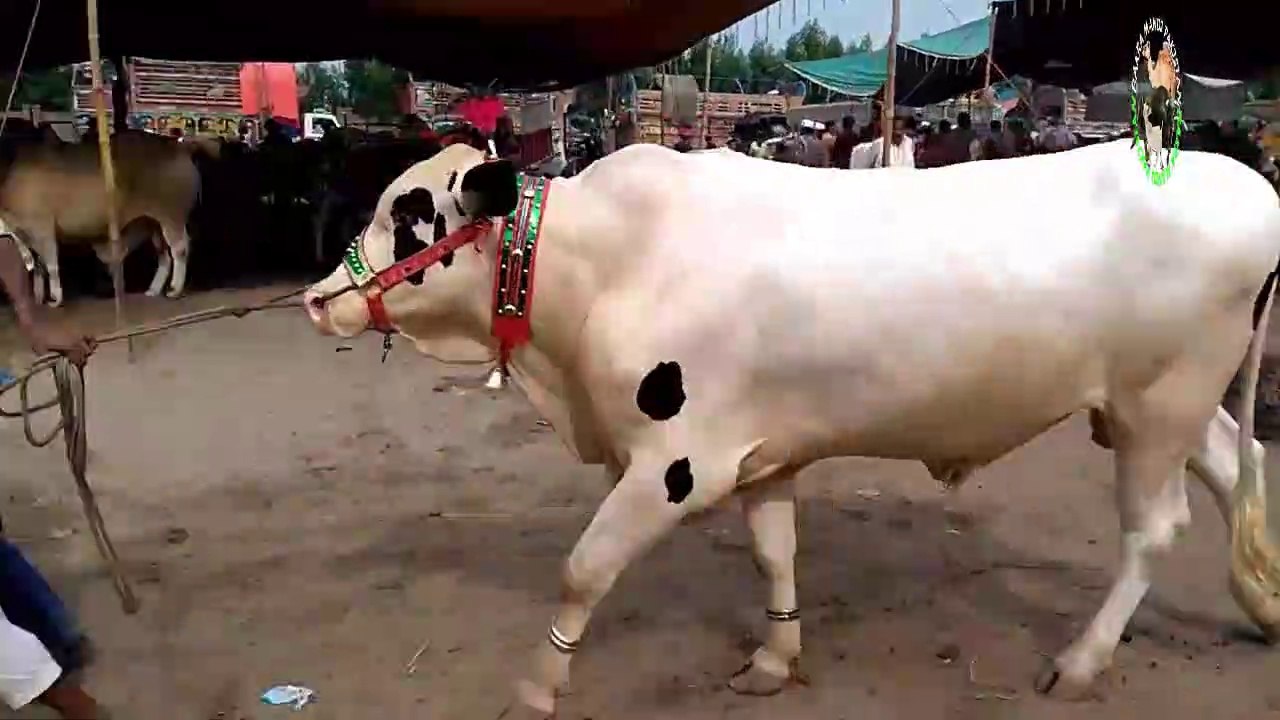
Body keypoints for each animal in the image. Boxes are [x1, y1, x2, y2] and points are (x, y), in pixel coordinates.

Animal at [0, 130, 211, 306]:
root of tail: (178, 145)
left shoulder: (42, 227)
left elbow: (50, 264)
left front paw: (55, 298)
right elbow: (38, 267)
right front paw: (38, 298)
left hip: (172, 215)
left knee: (179, 249)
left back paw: (175, 290)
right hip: (153, 223)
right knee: (163, 254)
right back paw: (153, 289)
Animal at [303, 141, 1280, 717]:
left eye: (405, 214)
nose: (318, 298)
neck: (610, 262)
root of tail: (1241, 177)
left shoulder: (676, 462)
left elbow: (583, 570)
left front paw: (539, 685)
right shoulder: (757, 453)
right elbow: (776, 554)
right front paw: (775, 657)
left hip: (1158, 404)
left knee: (1156, 529)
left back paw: (1080, 661)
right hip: (1159, 406)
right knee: (1239, 466)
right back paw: (1266, 607)